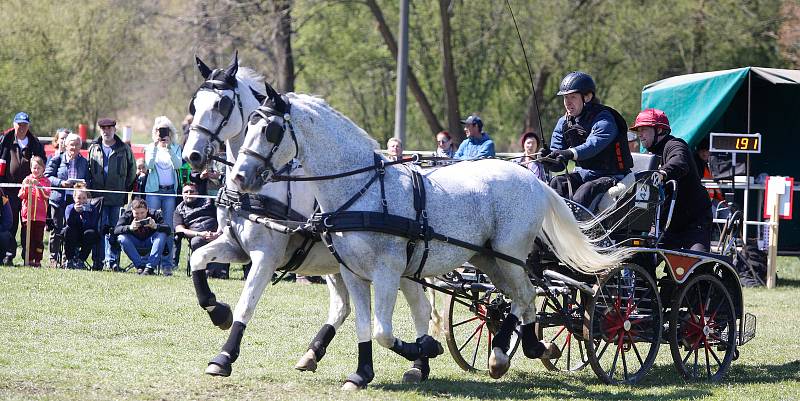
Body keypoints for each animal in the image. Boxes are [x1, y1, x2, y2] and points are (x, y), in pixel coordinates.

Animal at [182, 54, 438, 382]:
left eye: (222, 105)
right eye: (194, 104)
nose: (192, 155)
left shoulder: (265, 255)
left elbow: (246, 304)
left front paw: (224, 356)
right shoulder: (235, 245)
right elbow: (198, 258)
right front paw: (217, 311)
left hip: (400, 268)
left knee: (420, 308)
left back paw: (420, 362)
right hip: (338, 265)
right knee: (343, 307)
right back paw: (312, 353)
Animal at [231, 91, 632, 388]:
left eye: (269, 131)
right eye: (248, 125)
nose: (238, 177)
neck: (361, 191)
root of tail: (531, 177)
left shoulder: (388, 272)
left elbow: (384, 331)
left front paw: (425, 348)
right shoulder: (352, 274)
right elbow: (364, 326)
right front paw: (362, 373)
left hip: (510, 253)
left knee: (527, 294)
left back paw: (514, 351)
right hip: (487, 258)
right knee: (520, 298)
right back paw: (525, 349)